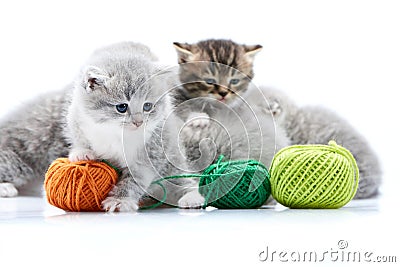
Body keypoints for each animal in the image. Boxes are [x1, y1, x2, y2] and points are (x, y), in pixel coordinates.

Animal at [67, 42, 205, 213]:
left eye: (147, 106)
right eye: (122, 107)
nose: (139, 122)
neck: (115, 132)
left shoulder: (152, 150)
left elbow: (135, 179)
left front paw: (120, 199)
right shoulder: (76, 114)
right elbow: (78, 135)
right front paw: (81, 151)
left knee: (184, 179)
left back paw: (191, 197)